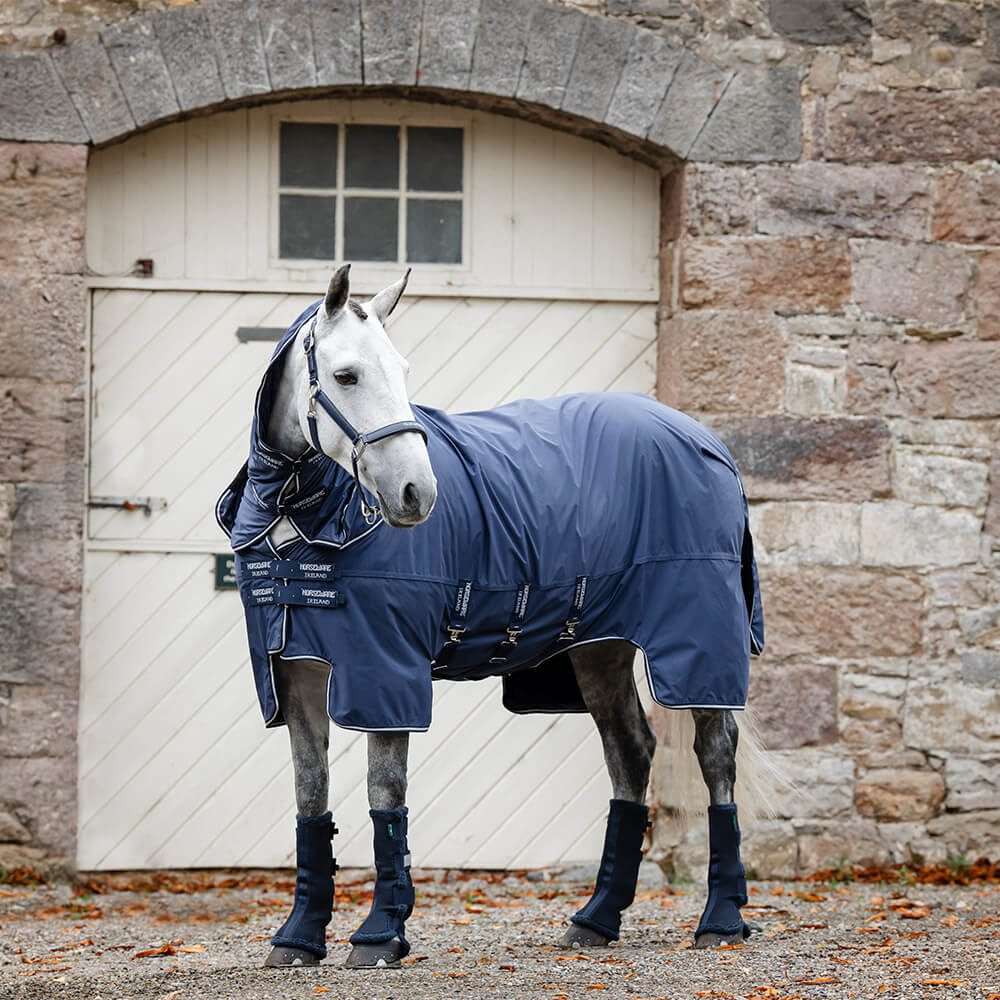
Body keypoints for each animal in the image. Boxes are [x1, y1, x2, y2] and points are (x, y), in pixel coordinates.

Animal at [216, 264, 767, 970]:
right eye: (346, 375)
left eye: (402, 369)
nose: (416, 495)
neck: (307, 513)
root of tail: (707, 442)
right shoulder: (296, 672)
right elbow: (311, 794)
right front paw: (298, 938)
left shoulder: (383, 668)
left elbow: (383, 792)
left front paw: (380, 934)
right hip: (600, 646)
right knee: (630, 752)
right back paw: (595, 921)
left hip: (696, 636)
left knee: (715, 753)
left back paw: (721, 919)